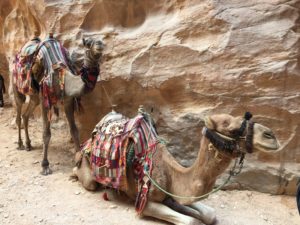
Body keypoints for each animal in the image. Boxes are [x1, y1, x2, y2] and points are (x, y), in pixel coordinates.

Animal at [72, 112, 282, 225]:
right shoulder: (145, 201)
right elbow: (191, 220)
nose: (271, 135)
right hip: (89, 174)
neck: (173, 173)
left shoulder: (176, 194)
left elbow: (208, 214)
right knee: (87, 179)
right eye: (231, 129)